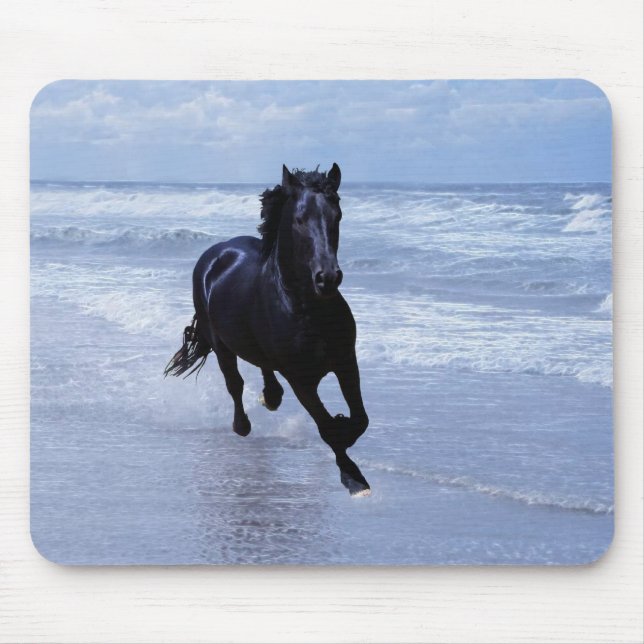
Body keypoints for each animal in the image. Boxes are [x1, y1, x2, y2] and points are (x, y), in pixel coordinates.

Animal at [164, 164, 371, 496]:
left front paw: (346, 430)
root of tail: (216, 253)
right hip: (220, 343)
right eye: (300, 219)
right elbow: (327, 427)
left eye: (337, 215)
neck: (306, 309)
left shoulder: (346, 362)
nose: (327, 278)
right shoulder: (301, 379)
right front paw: (354, 479)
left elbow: (360, 419)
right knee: (234, 383)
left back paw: (270, 397)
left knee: (263, 367)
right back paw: (242, 425)